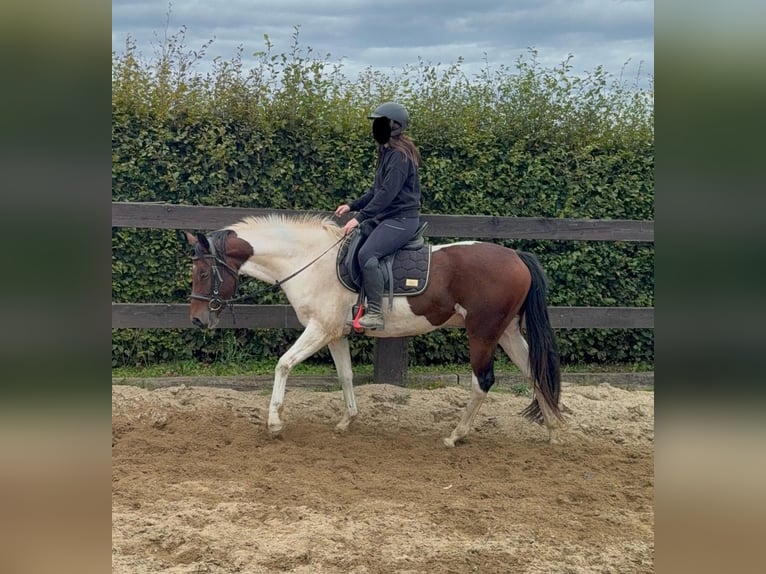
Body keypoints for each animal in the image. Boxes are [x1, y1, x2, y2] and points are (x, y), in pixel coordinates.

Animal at [185, 213, 565, 447]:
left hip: (482, 334)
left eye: (203, 273)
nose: (198, 319)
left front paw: (275, 424)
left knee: (483, 382)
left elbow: (284, 365)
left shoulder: (319, 329)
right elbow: (346, 375)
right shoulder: (334, 334)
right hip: (507, 332)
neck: (310, 261)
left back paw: (455, 435)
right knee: (534, 371)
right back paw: (553, 431)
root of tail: (515, 256)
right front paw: (347, 421)